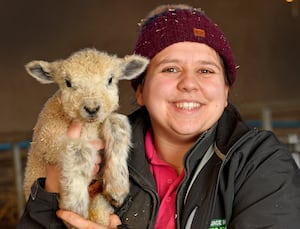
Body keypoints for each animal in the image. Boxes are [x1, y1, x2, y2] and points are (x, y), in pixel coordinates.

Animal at [22, 47, 149, 226]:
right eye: (68, 83)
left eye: (110, 79)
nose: (92, 108)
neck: (89, 126)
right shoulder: (46, 137)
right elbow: (79, 149)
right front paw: (75, 203)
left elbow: (118, 125)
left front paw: (117, 186)